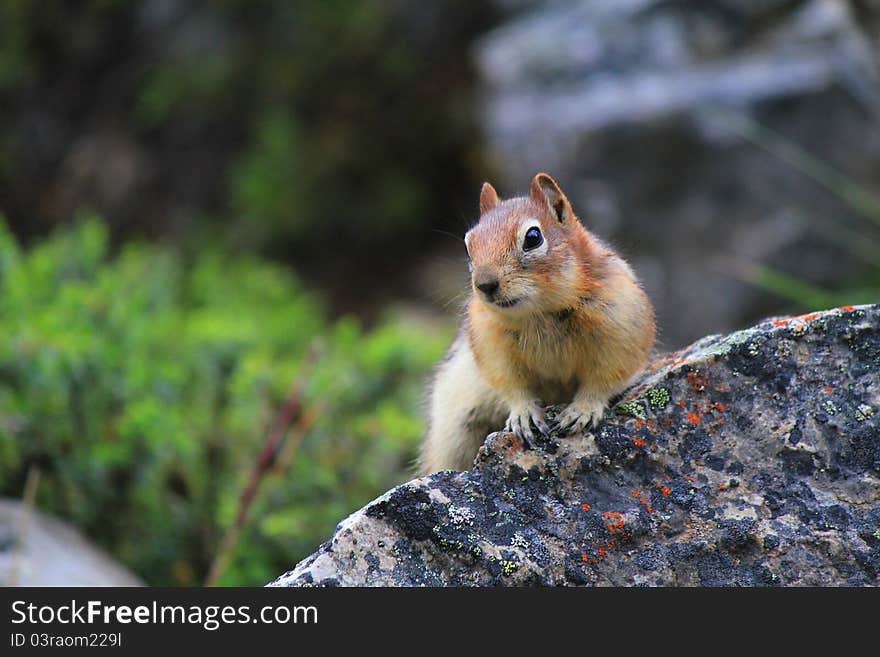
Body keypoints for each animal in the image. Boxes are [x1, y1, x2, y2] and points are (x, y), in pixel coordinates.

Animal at [420, 173, 652, 472]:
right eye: (468, 245)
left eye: (533, 237)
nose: (484, 284)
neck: (539, 312)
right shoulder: (490, 344)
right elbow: (510, 384)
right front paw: (524, 413)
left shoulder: (622, 330)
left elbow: (605, 378)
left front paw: (583, 410)